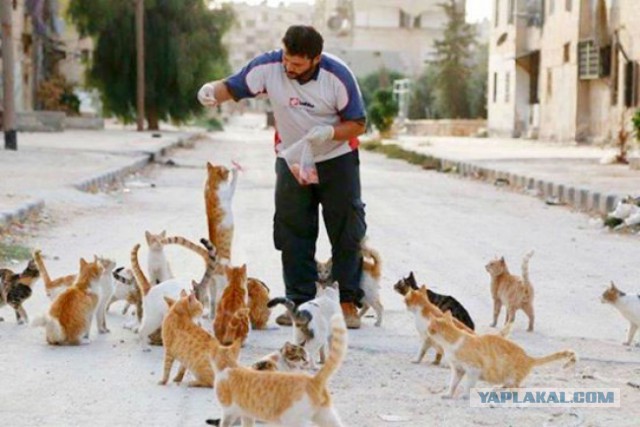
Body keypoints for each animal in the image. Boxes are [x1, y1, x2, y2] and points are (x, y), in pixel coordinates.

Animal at [428, 310, 576, 398]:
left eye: (430, 326)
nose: (427, 330)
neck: (451, 341)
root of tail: (529, 358)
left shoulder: (473, 369)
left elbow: (468, 385)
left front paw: (465, 395)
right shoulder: (458, 369)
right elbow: (453, 384)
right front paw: (448, 394)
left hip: (512, 378)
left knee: (517, 390)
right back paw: (498, 388)